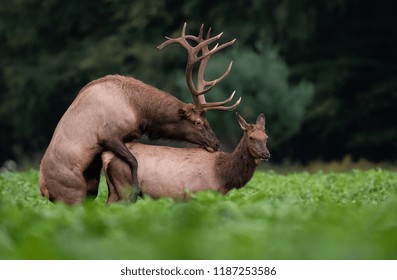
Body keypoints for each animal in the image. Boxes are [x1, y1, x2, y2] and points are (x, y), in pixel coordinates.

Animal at [39, 22, 238, 203]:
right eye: (198, 122)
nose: (216, 143)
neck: (139, 111)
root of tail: (43, 189)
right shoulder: (109, 135)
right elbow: (134, 161)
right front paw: (135, 192)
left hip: (89, 187)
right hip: (72, 193)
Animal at [101, 112, 270, 205]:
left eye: (266, 137)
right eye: (251, 138)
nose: (266, 154)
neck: (223, 176)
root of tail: (106, 157)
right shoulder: (193, 195)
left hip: (114, 189)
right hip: (125, 187)